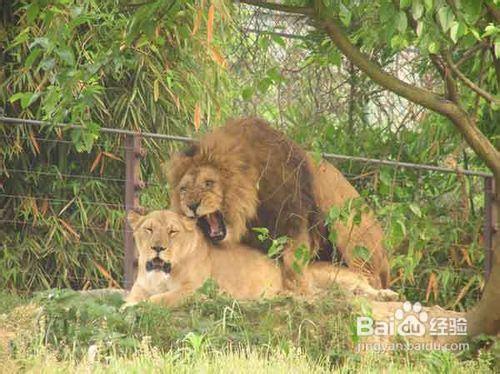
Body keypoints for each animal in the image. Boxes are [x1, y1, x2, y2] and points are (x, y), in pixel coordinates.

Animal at [124, 210, 394, 306]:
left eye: (172, 231)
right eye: (148, 229)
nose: (157, 248)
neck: (161, 271)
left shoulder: (195, 289)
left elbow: (159, 299)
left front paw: (139, 306)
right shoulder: (140, 286)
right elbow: (133, 298)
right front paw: (130, 305)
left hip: (332, 277)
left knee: (365, 290)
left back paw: (388, 295)